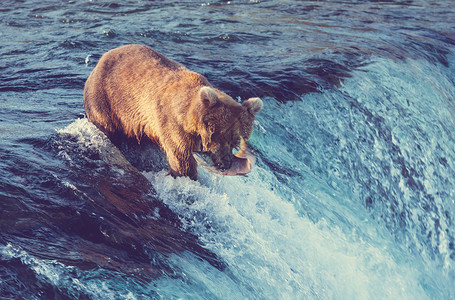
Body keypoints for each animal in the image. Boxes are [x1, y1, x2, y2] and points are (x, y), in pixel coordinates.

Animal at [84, 44, 264, 180]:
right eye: (218, 135)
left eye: (235, 141)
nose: (225, 163)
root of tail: (102, 58)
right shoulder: (171, 123)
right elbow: (181, 157)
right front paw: (187, 175)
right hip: (106, 98)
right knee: (107, 126)